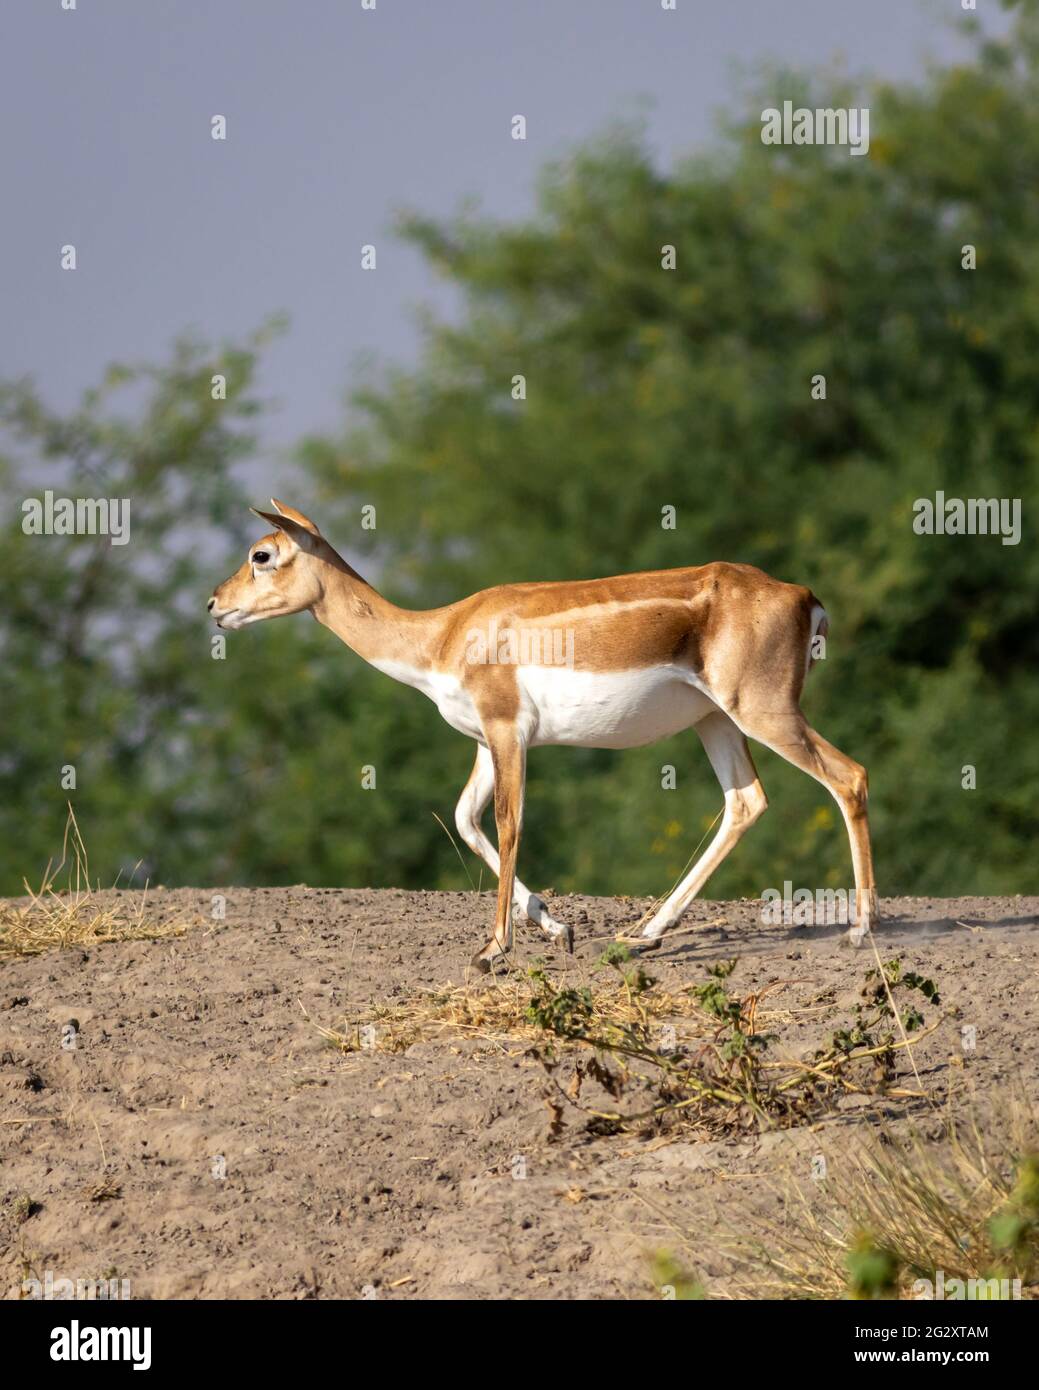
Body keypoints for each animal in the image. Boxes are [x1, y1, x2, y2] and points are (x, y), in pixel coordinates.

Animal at [211, 505, 879, 973]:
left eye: (261, 553)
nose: (215, 604)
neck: (441, 635)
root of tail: (804, 598)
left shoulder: (509, 731)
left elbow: (508, 824)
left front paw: (492, 950)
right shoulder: (486, 741)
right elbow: (466, 819)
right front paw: (559, 929)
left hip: (763, 712)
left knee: (849, 777)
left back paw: (860, 928)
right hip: (715, 721)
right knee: (746, 802)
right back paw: (643, 934)